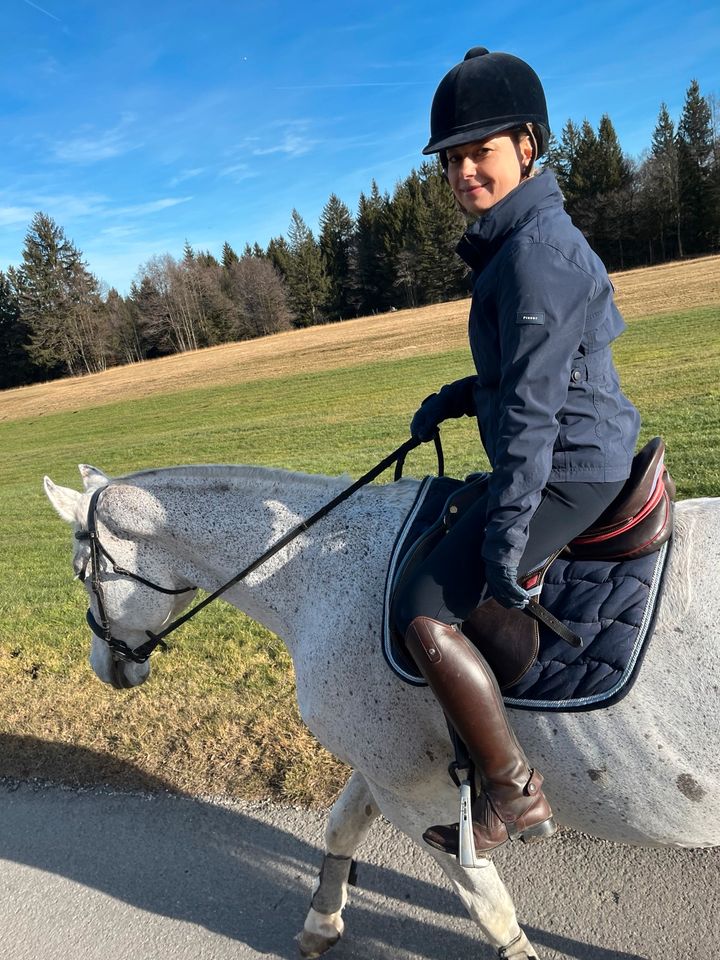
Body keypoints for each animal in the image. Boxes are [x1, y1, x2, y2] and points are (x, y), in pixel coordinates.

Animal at [45, 462, 720, 956]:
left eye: (81, 573)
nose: (107, 667)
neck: (316, 571)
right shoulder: (384, 763)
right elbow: (341, 826)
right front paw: (321, 924)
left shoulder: (415, 794)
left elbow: (489, 905)